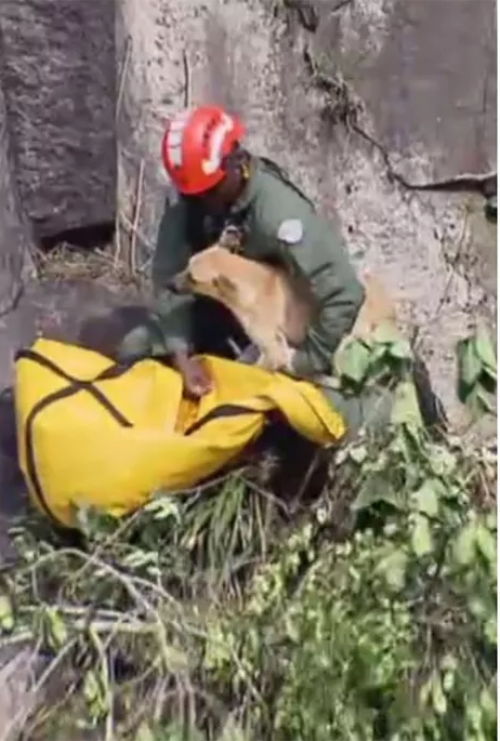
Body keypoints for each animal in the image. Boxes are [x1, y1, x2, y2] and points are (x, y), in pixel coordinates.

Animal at [170, 243, 396, 370]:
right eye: (187, 264)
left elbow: (265, 363)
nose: (169, 283)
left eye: (193, 278)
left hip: (351, 336)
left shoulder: (269, 344)